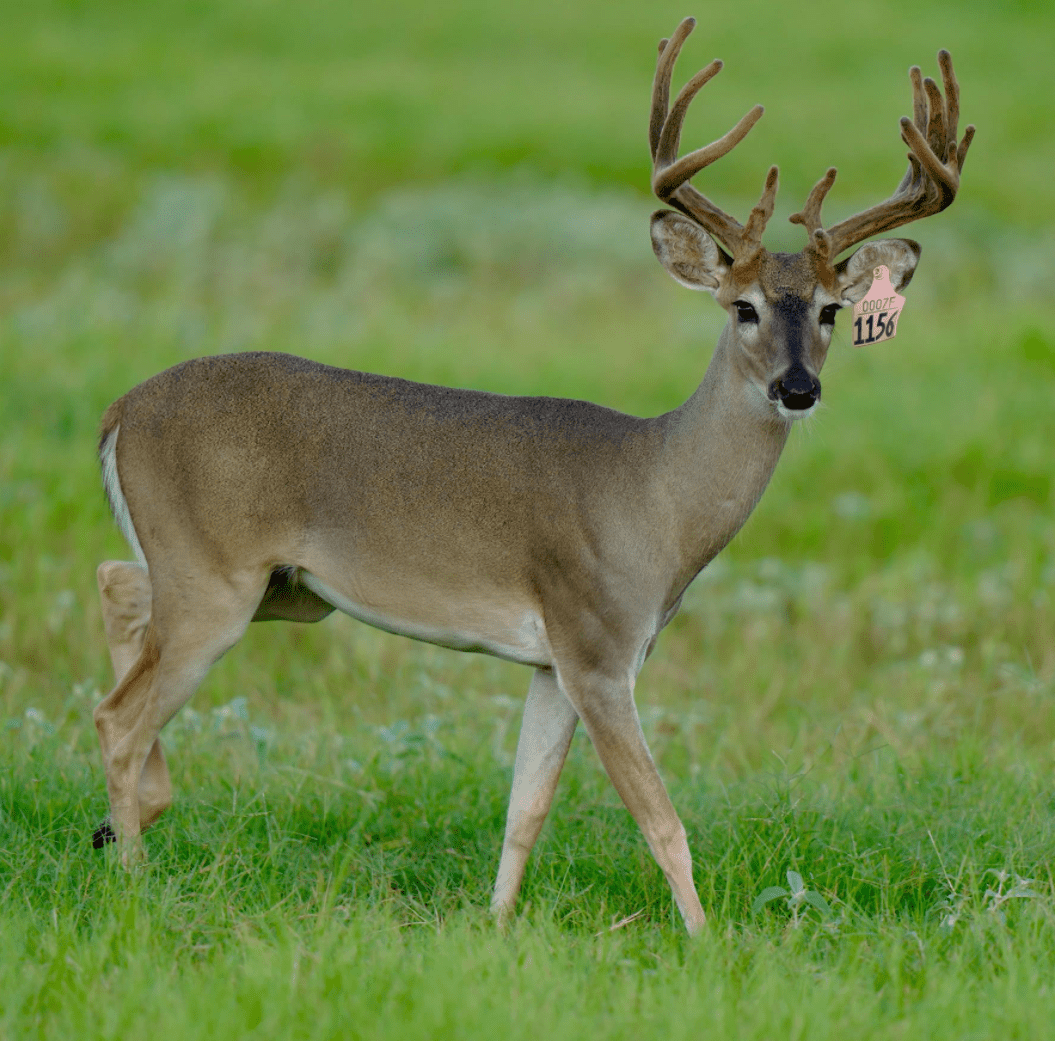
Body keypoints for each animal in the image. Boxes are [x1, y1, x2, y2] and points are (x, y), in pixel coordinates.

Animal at [91, 17, 972, 934]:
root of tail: (119, 412)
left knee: (118, 583)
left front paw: (496, 924)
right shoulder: (595, 643)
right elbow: (660, 817)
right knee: (116, 714)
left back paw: (133, 818)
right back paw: (134, 877)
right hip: (218, 575)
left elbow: (527, 806)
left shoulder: (553, 661)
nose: (797, 388)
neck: (656, 498)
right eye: (743, 306)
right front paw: (706, 939)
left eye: (832, 309)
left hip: (278, 587)